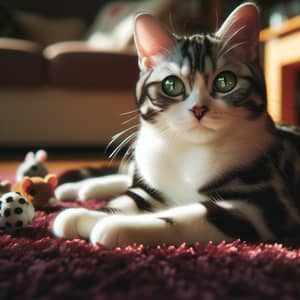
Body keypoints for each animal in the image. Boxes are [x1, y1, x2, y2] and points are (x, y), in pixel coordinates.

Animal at [52, 3, 300, 248]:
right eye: (172, 85)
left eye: (225, 81)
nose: (199, 109)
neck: (190, 152)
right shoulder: (149, 187)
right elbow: (126, 198)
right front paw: (88, 215)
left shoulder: (261, 203)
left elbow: (183, 217)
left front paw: (116, 224)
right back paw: (77, 188)